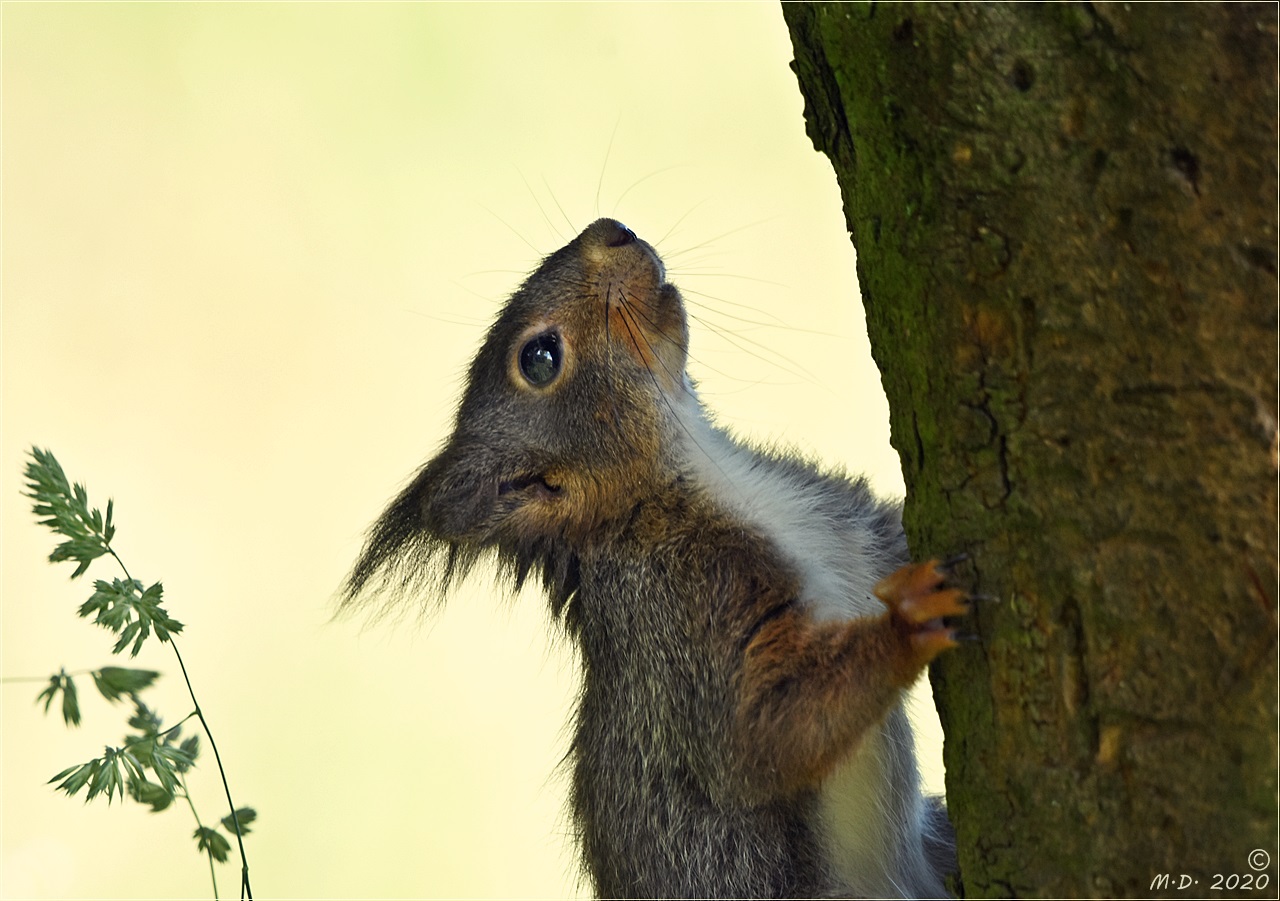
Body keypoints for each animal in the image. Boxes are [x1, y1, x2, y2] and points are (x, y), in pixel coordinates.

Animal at [345, 216, 962, 895]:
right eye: (539, 358)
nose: (609, 230)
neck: (704, 472)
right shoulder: (681, 618)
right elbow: (763, 735)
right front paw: (908, 624)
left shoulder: (848, 521)